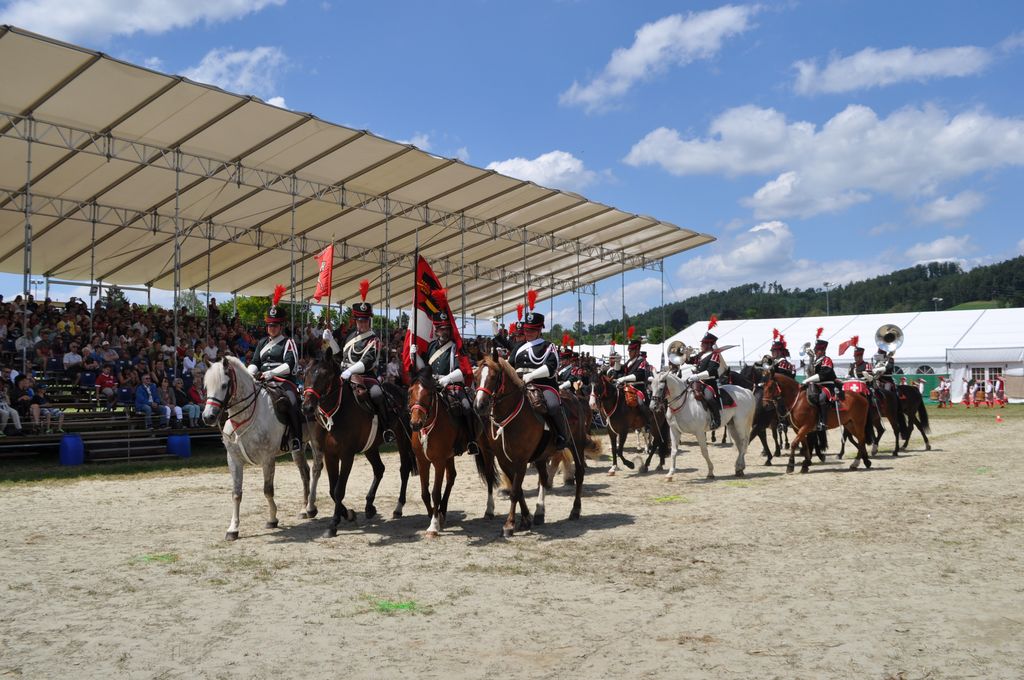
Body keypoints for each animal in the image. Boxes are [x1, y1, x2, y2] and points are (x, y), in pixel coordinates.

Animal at [202, 356, 315, 540]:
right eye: (206, 386)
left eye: (224, 385)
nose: (208, 417)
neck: (246, 417)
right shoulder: (233, 460)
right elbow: (236, 494)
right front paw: (233, 528)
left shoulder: (267, 459)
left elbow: (267, 490)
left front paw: (272, 519)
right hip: (298, 448)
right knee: (305, 473)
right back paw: (304, 509)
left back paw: (311, 508)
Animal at [299, 350, 415, 536]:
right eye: (305, 374)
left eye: (325, 375)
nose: (307, 407)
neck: (337, 411)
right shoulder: (330, 455)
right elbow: (332, 489)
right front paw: (348, 514)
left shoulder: (347, 455)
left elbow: (339, 490)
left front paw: (333, 524)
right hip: (370, 448)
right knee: (379, 469)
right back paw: (369, 506)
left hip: (403, 440)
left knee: (404, 469)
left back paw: (398, 508)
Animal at [407, 368, 495, 540]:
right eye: (410, 392)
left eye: (428, 394)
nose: (415, 424)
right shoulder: (423, 461)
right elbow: (425, 493)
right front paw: (434, 516)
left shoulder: (439, 461)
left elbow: (435, 492)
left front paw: (433, 526)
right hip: (450, 456)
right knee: (452, 477)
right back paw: (443, 511)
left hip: (486, 449)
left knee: (489, 477)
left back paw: (489, 510)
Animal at [471, 350, 585, 536]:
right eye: (476, 376)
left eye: (494, 376)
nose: (479, 406)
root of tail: (575, 398)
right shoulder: (503, 460)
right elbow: (518, 490)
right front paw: (526, 519)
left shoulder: (521, 460)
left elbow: (515, 491)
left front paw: (509, 524)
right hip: (541, 455)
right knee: (544, 478)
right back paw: (539, 513)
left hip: (577, 445)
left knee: (580, 473)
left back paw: (575, 510)